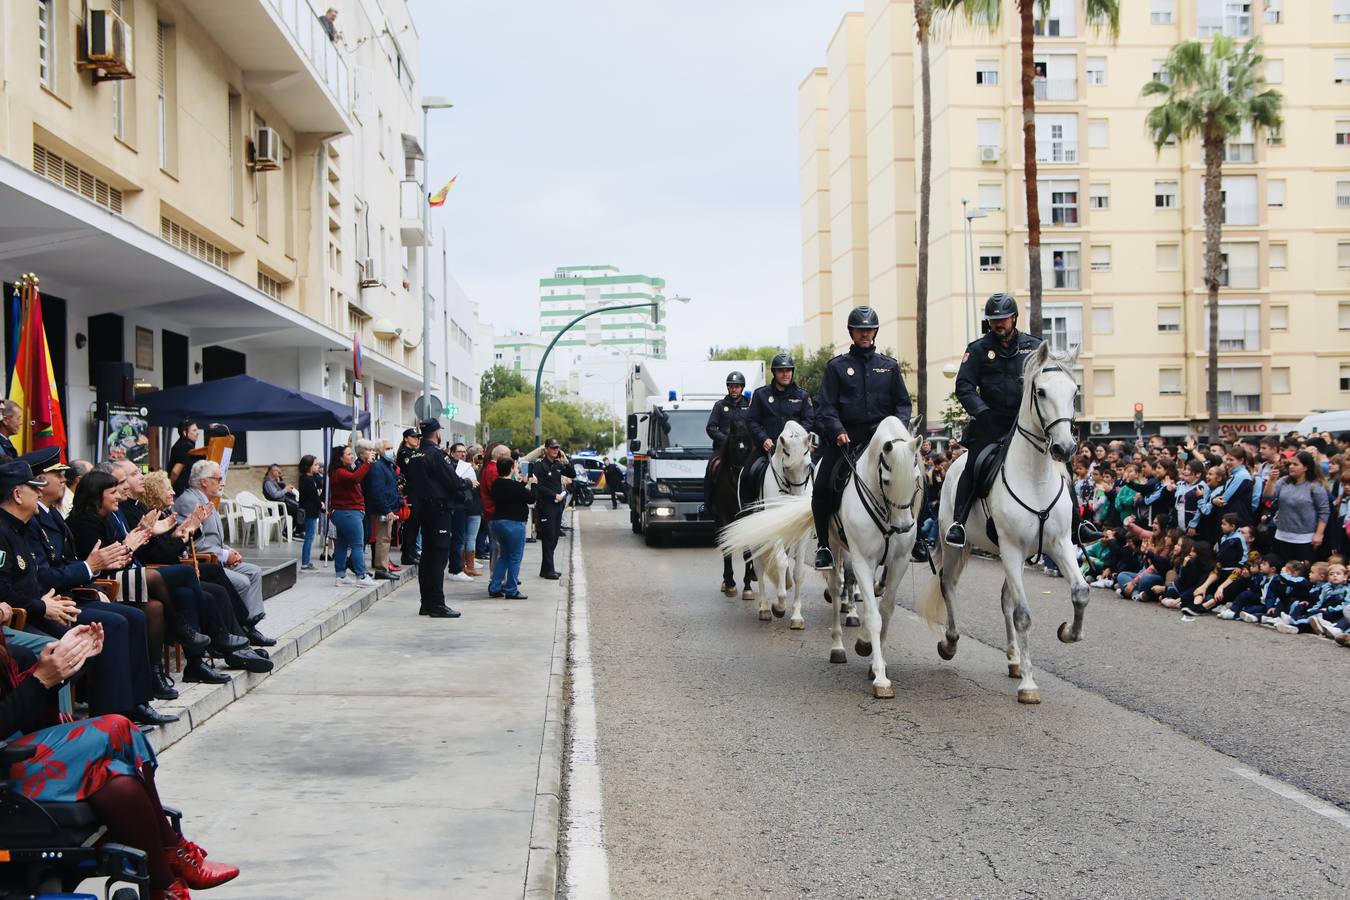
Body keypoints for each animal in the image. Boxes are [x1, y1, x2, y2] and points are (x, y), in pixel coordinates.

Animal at [739, 420, 810, 626]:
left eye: (808, 466)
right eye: (786, 468)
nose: (797, 504)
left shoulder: (802, 534)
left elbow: (798, 571)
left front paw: (796, 616)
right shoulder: (775, 531)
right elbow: (780, 562)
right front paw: (778, 606)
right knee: (759, 566)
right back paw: (764, 607)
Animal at [923, 342, 1090, 701]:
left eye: (1075, 392)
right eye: (1041, 391)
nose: (1065, 448)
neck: (1035, 477)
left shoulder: (1059, 544)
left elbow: (1081, 592)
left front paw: (1068, 632)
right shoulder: (1011, 547)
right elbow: (1023, 614)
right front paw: (1029, 685)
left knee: (1004, 598)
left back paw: (1013, 659)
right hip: (956, 544)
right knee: (948, 584)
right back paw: (951, 643)